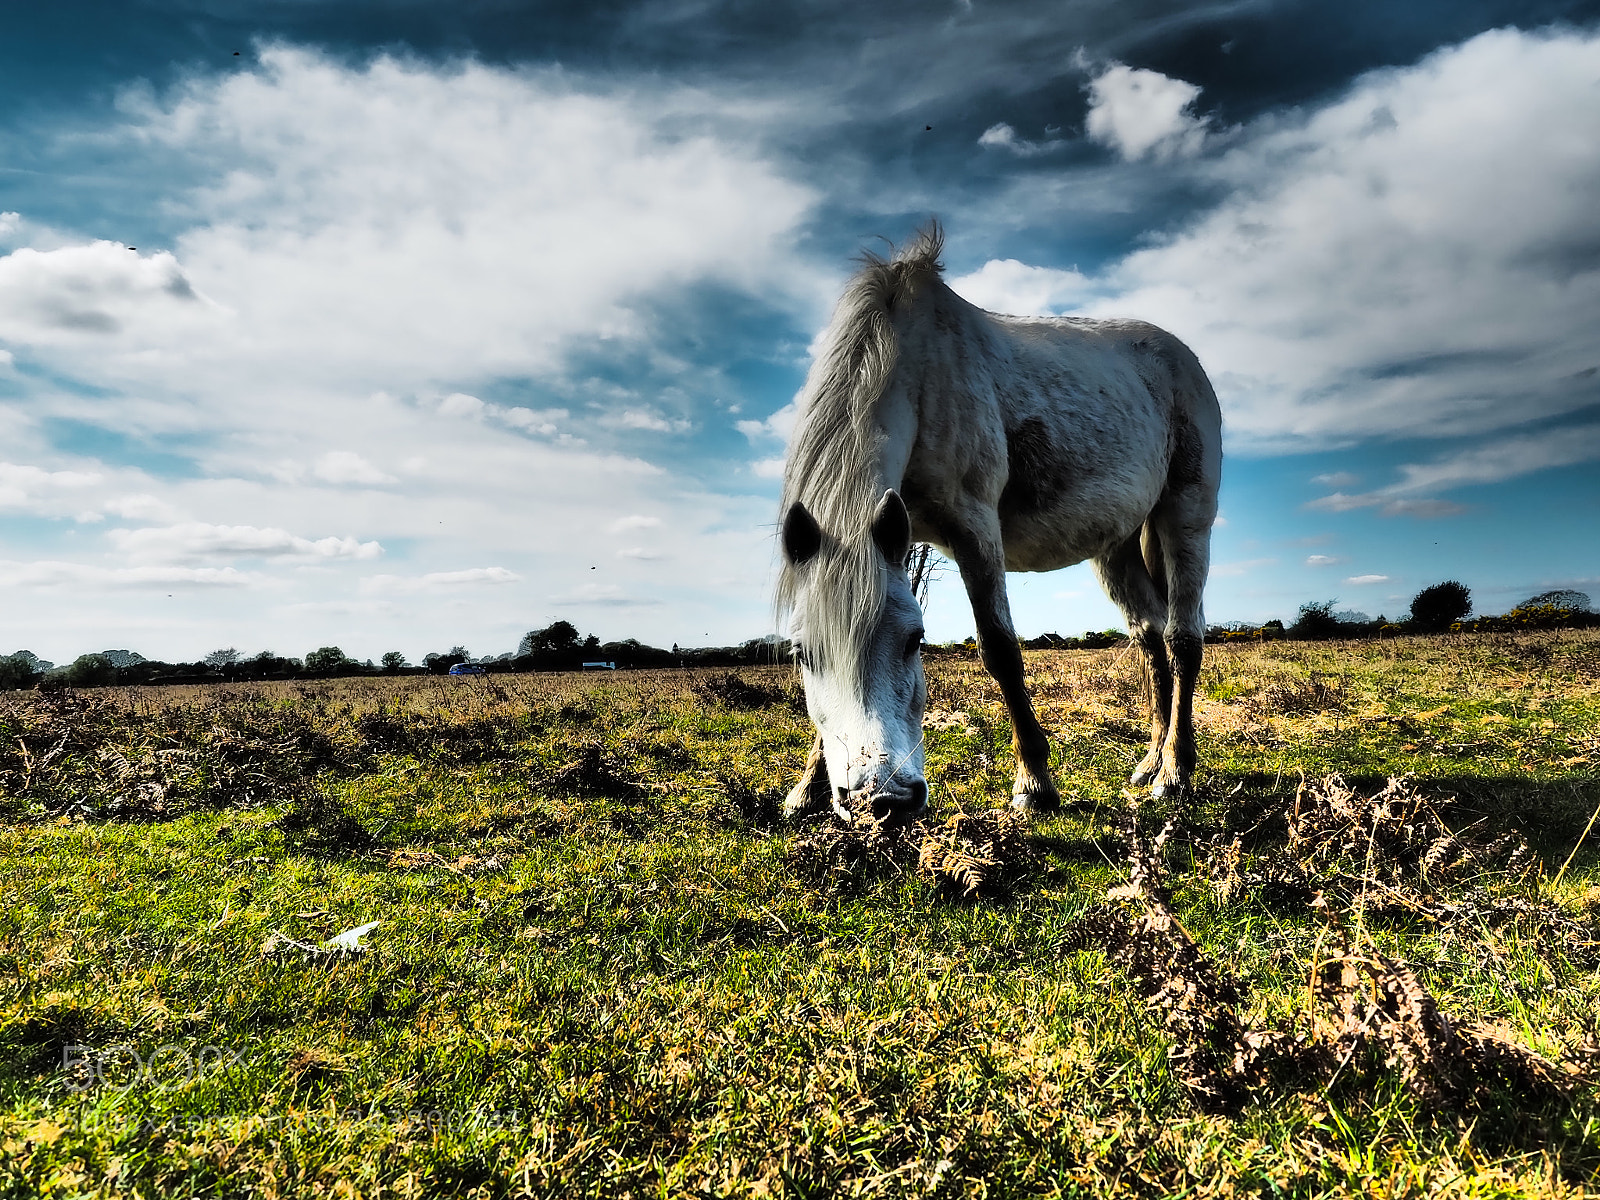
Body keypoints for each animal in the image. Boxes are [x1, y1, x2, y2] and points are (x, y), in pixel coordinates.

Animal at [775, 222, 1221, 822]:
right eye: (801, 653)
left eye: (915, 640)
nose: (881, 799)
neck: (918, 377)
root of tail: (1180, 355)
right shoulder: (892, 538)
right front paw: (807, 788)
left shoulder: (974, 529)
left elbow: (1000, 650)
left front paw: (1035, 783)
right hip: (1116, 548)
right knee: (1149, 637)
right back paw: (1150, 760)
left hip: (1186, 517)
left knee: (1182, 639)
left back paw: (1174, 771)